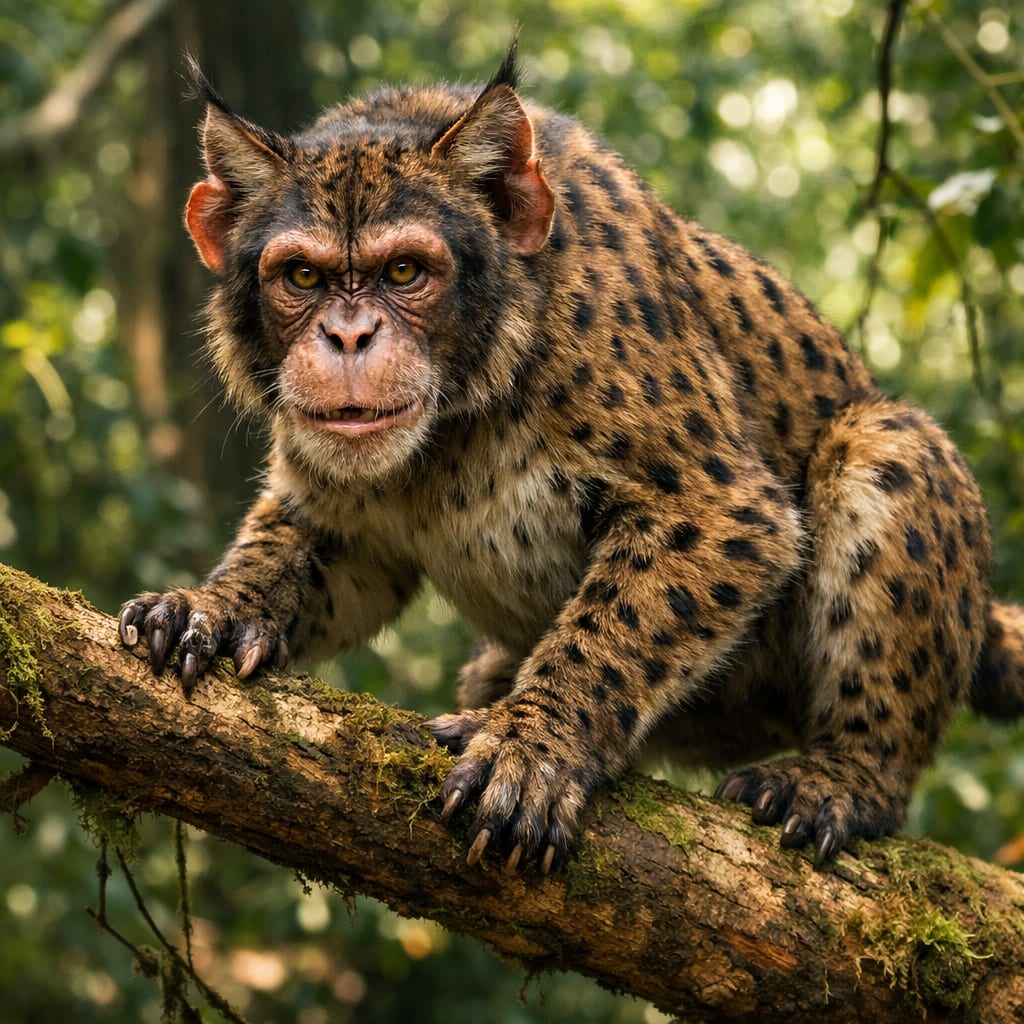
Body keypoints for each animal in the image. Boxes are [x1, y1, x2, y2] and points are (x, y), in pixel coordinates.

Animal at [119, 45, 1024, 872]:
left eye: (405, 270)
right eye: (303, 277)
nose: (348, 338)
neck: (451, 434)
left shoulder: (715, 506)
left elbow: (614, 630)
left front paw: (530, 748)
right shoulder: (340, 518)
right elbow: (285, 554)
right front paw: (213, 606)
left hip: (890, 442)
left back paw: (835, 780)